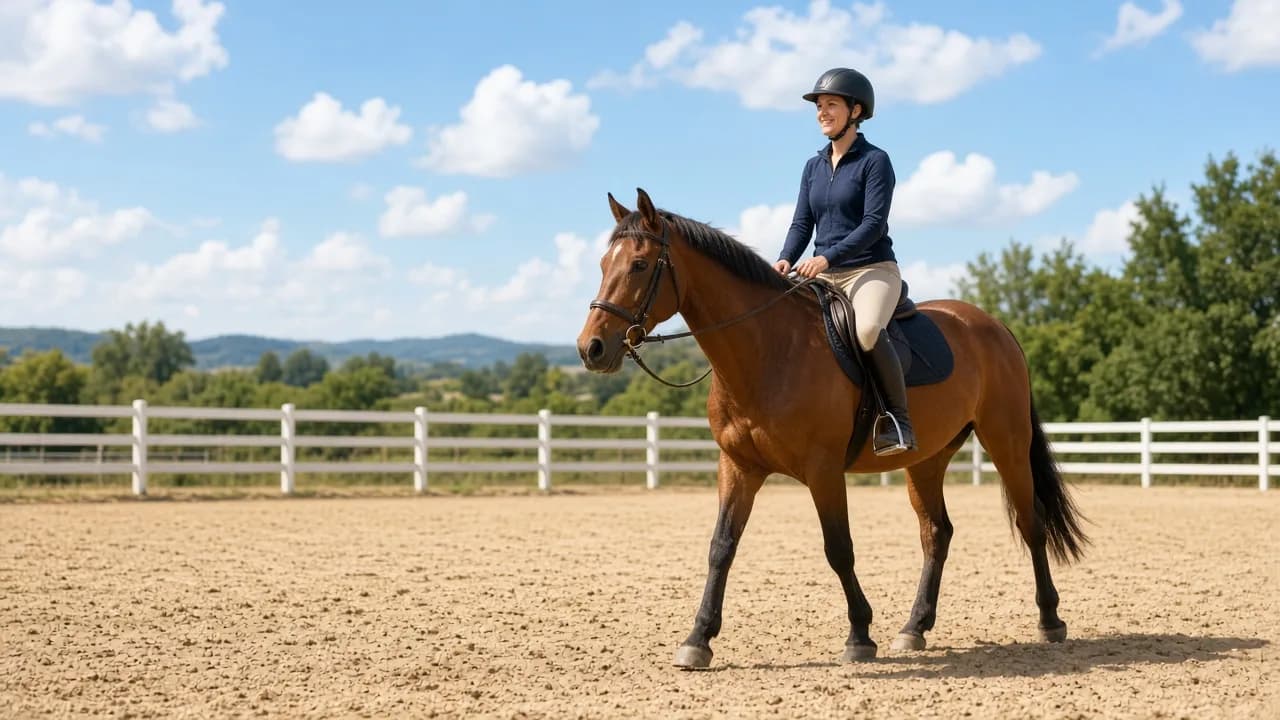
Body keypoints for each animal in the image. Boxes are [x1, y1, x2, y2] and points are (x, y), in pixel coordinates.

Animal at [576, 188, 1088, 669]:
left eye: (640, 264)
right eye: (603, 263)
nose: (591, 348)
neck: (767, 350)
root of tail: (994, 326)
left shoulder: (822, 470)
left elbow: (838, 548)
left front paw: (859, 636)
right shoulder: (738, 466)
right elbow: (721, 547)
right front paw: (698, 639)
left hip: (1007, 442)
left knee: (1030, 522)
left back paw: (1049, 620)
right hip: (926, 460)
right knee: (936, 533)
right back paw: (914, 627)